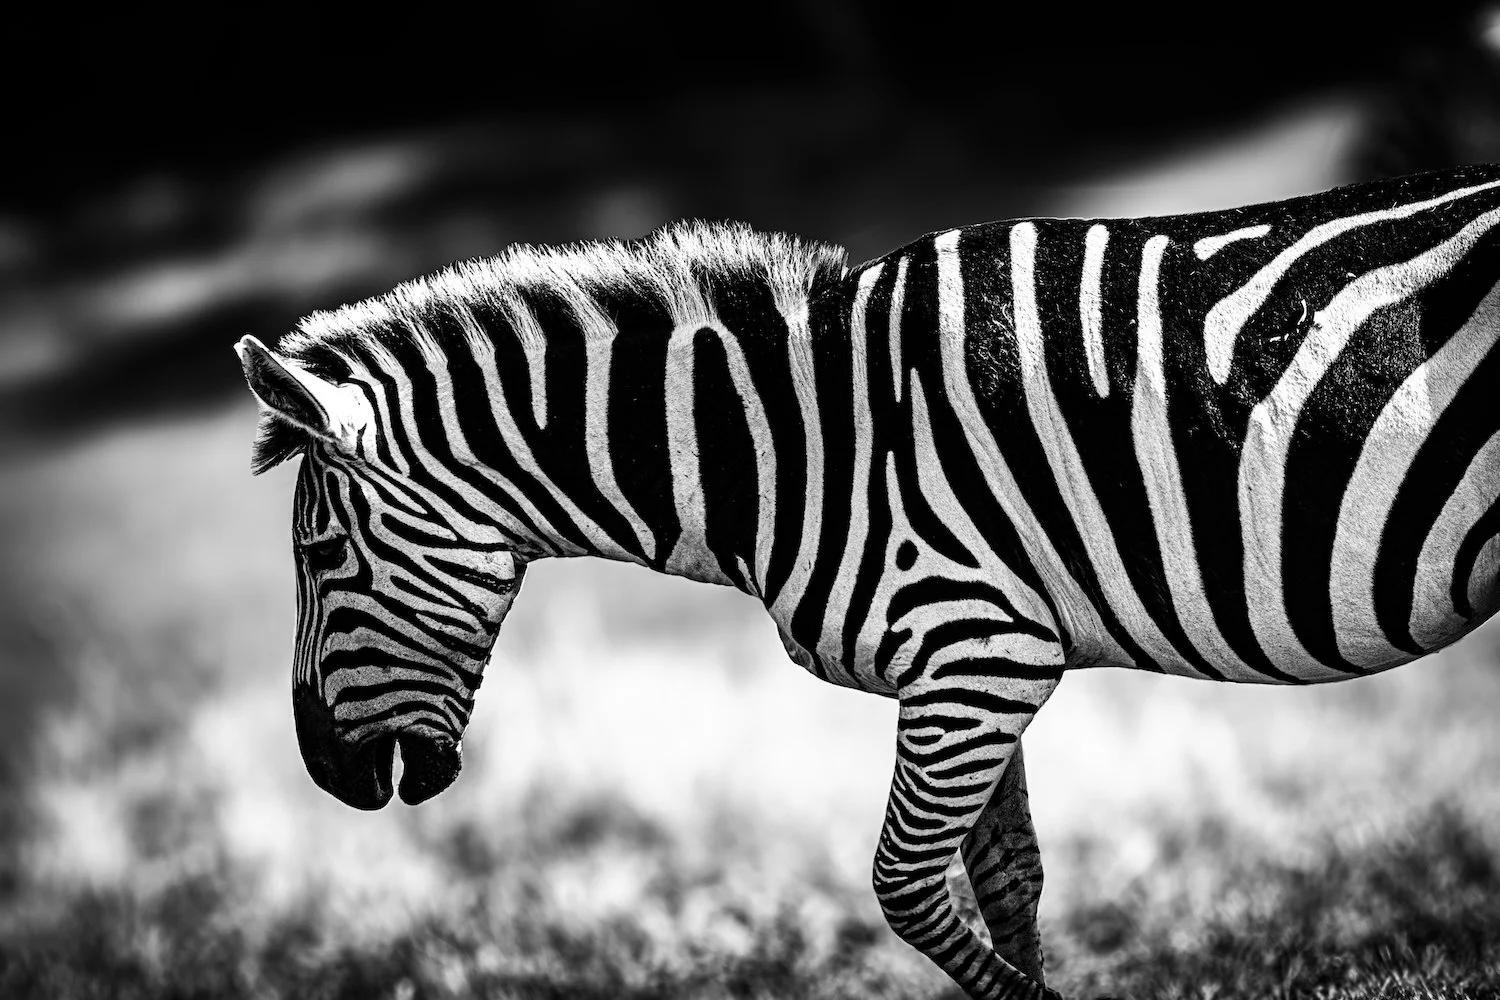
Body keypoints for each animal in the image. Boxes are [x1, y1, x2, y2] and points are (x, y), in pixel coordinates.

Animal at [237, 162, 1500, 1000]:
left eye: (320, 559)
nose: (326, 775)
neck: (791, 446)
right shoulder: (985, 662)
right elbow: (1007, 878)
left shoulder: (975, 660)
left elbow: (905, 886)